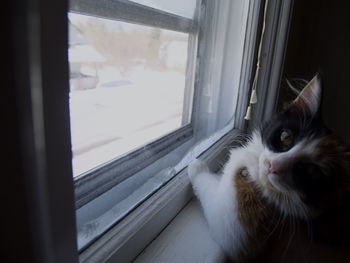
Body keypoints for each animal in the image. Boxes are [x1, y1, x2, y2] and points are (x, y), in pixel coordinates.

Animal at [189, 75, 350, 262]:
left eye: (311, 172)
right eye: (286, 137)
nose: (274, 166)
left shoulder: (237, 232)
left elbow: (208, 189)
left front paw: (197, 167)